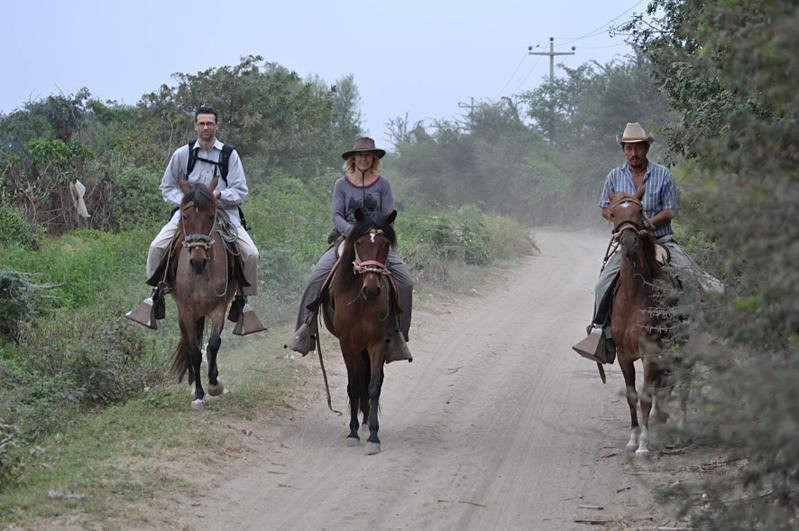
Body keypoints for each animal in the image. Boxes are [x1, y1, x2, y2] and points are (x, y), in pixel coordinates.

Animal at [169, 177, 238, 410]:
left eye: (210, 216)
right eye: (185, 216)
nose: (198, 261)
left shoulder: (219, 306)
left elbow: (214, 343)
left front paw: (214, 383)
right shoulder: (187, 310)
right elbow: (193, 351)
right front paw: (198, 393)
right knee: (189, 342)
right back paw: (192, 381)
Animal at [322, 208, 400, 454]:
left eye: (385, 244)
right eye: (359, 243)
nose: (372, 289)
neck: (362, 301)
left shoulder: (376, 343)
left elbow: (373, 385)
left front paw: (374, 436)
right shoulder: (348, 344)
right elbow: (354, 386)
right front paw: (353, 432)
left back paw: (367, 420)